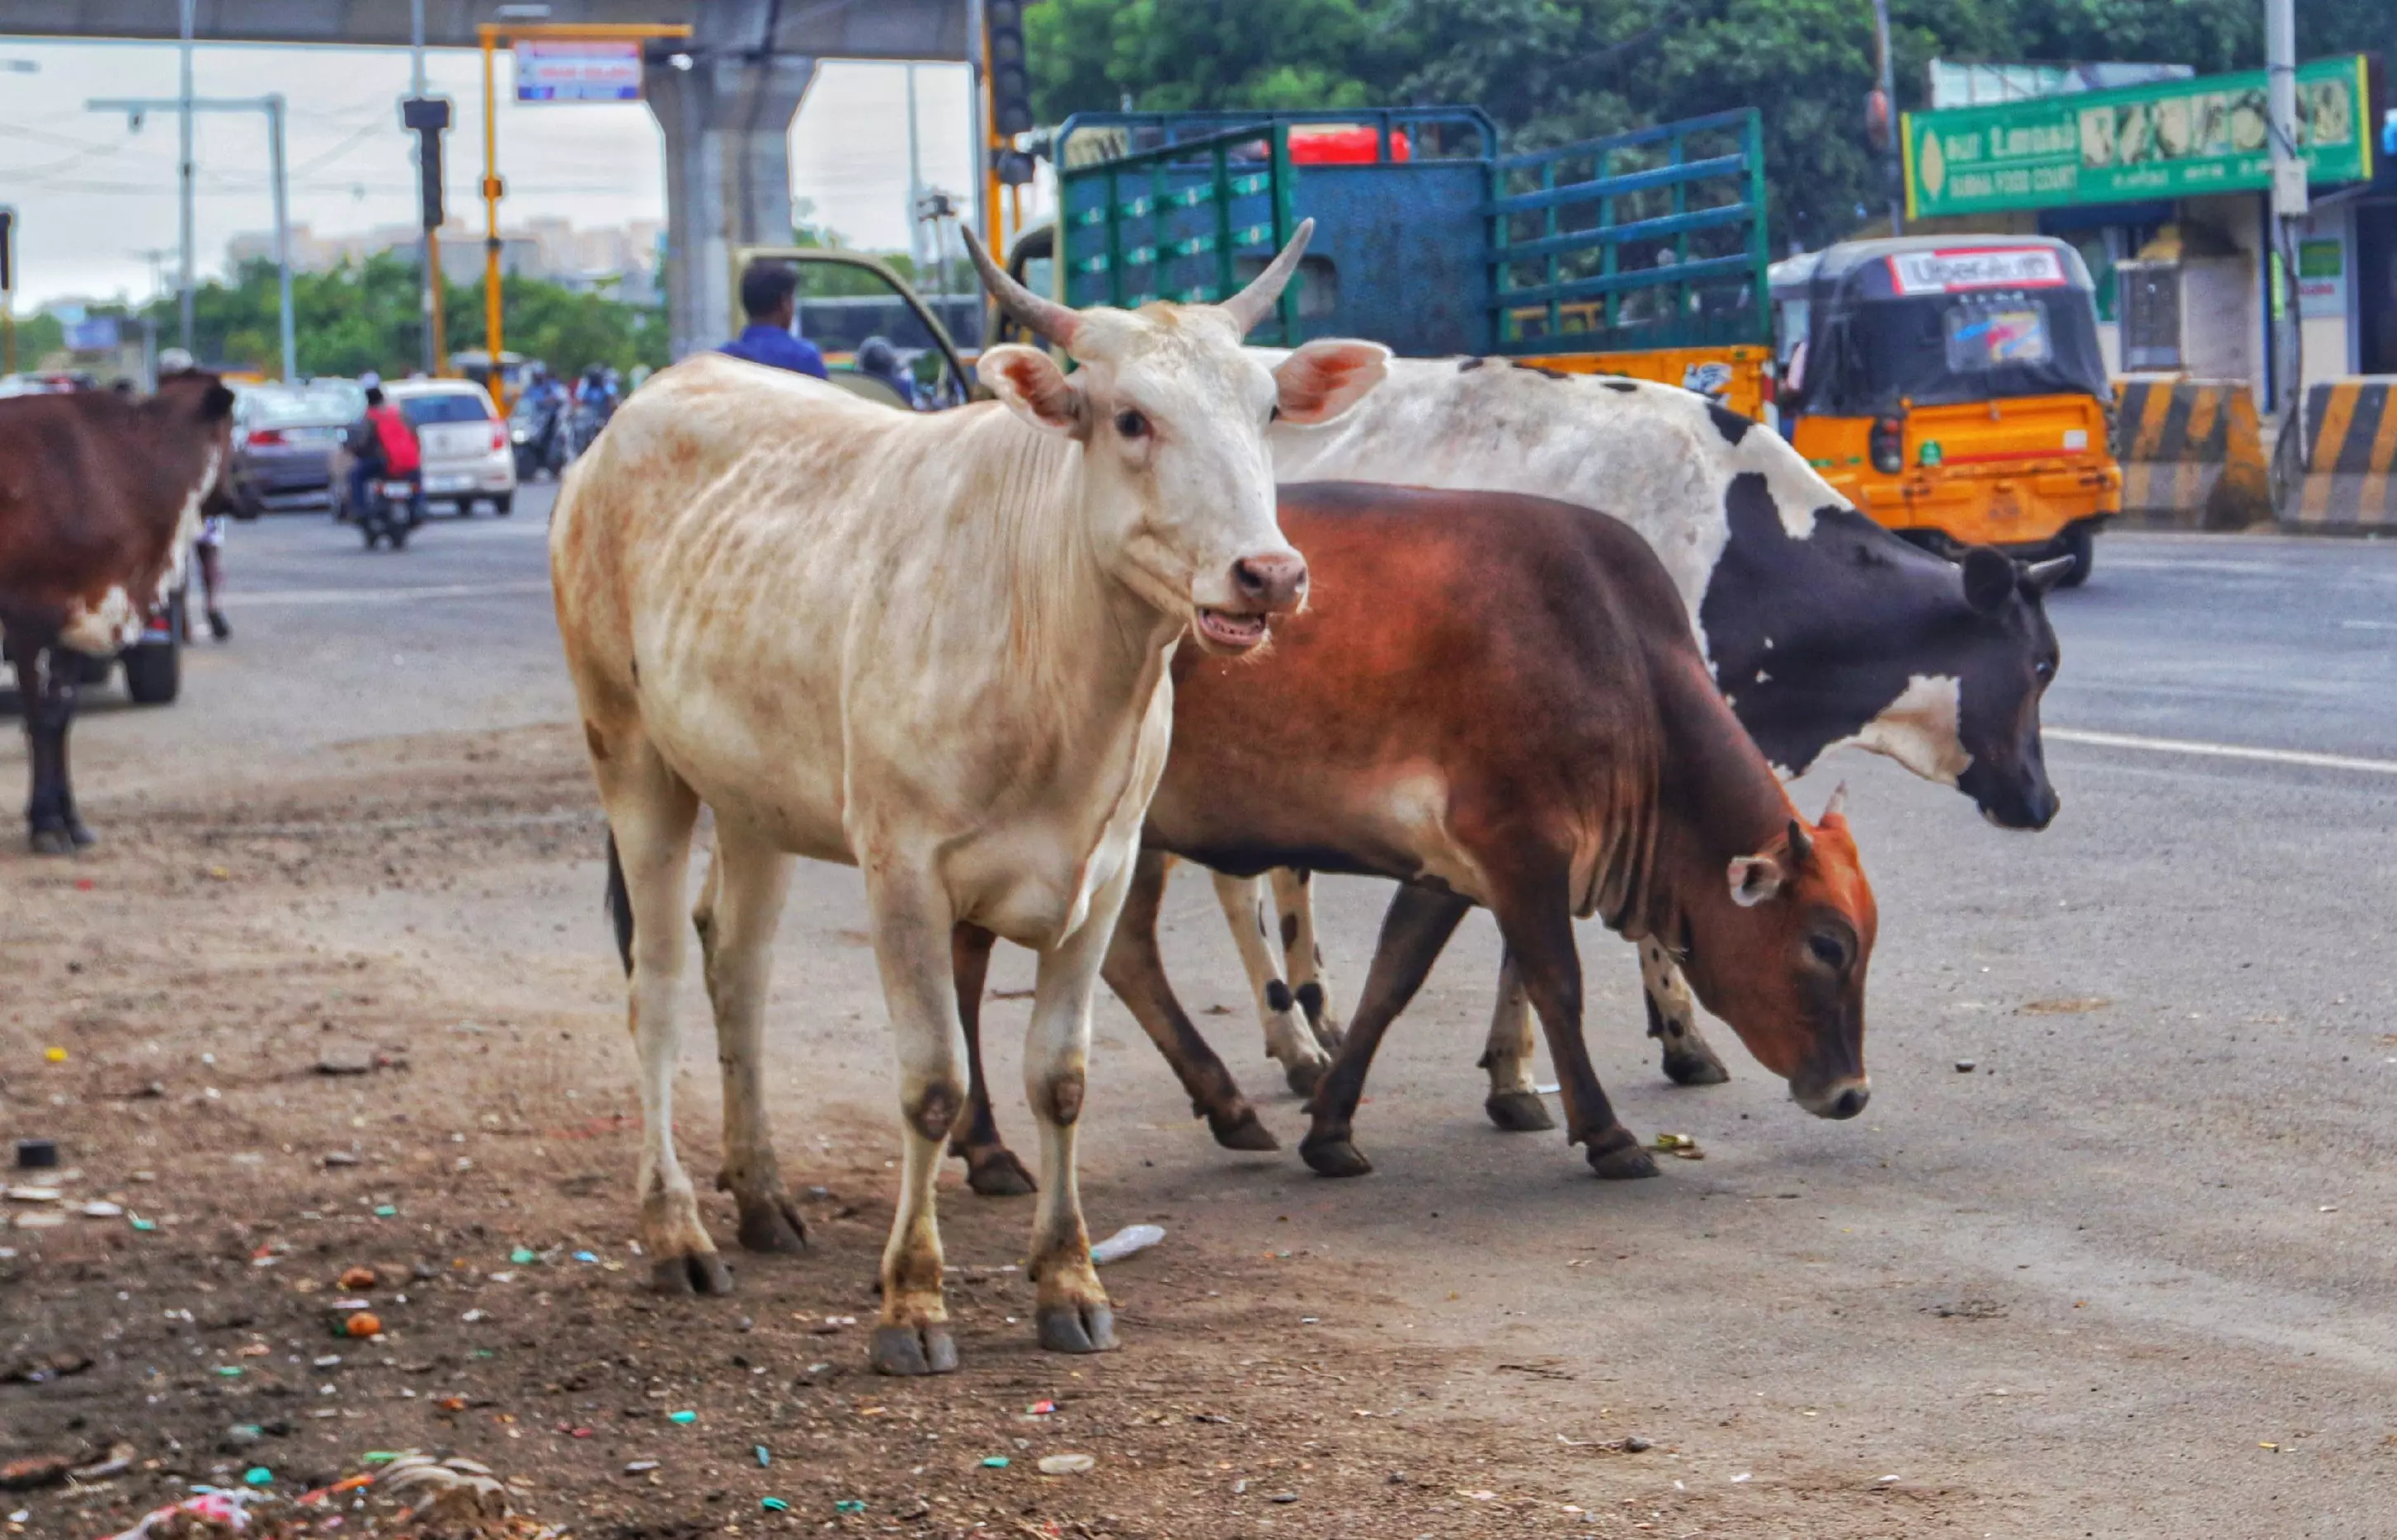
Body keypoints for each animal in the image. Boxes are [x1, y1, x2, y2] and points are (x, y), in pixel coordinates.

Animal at [0, 372, 236, 853]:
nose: (251, 495)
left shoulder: (80, 617)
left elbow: (59, 718)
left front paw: (68, 821)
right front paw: (46, 825)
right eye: (235, 432)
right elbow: (37, 719)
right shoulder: (26, 619)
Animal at [548, 221, 1389, 1376]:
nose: (1268, 573)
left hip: (756, 799)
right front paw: (912, 1299)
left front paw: (1069, 1281)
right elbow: (935, 1083)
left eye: (1266, 410)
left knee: (739, 970)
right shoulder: (900, 871)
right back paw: (675, 1231)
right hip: (630, 755)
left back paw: (761, 1196)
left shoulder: (1102, 875)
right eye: (1129, 417)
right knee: (660, 983)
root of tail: (633, 414)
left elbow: (1059, 1078)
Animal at [950, 481, 1877, 1190]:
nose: (1852, 1094)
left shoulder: (1451, 869)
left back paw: (1227, 1106)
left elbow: (1391, 980)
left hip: (1137, 833)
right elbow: (1557, 983)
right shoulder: (1519, 848)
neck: (1616, 664)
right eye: (1826, 944)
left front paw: (1330, 1127)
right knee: (964, 970)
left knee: (1127, 952)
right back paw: (987, 1145)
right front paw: (1607, 1133)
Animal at [1215, 357, 2066, 1120]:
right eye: (2042, 664)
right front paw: (1564, 1065)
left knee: (1285, 868)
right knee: (1237, 882)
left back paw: (1318, 1014)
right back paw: (1293, 1041)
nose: (2046, 802)